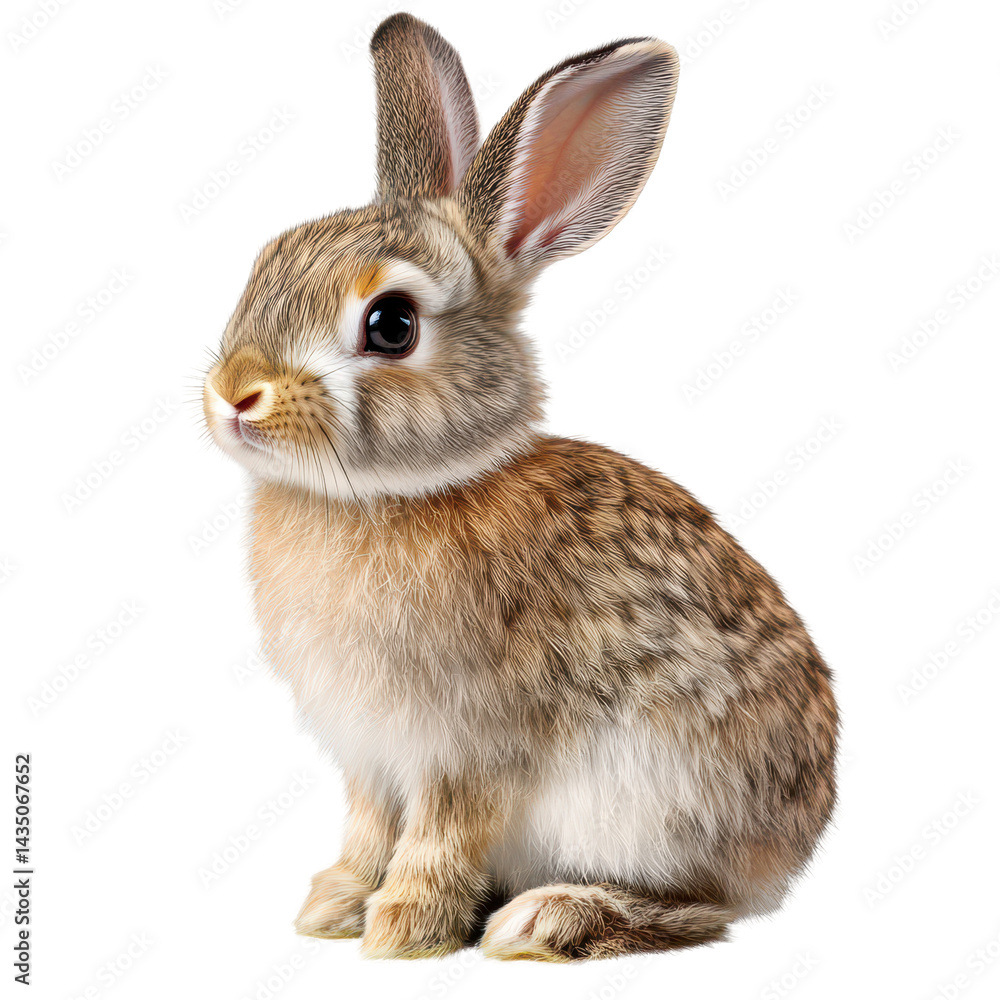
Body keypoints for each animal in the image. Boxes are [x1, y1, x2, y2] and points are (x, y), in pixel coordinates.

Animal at [202, 12, 838, 962]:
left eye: (391, 324)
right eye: (267, 260)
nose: (236, 393)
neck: (392, 494)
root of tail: (793, 847)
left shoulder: (467, 744)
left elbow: (440, 833)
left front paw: (403, 929)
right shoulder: (369, 756)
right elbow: (368, 826)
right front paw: (334, 907)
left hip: (650, 797)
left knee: (700, 907)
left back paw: (548, 917)